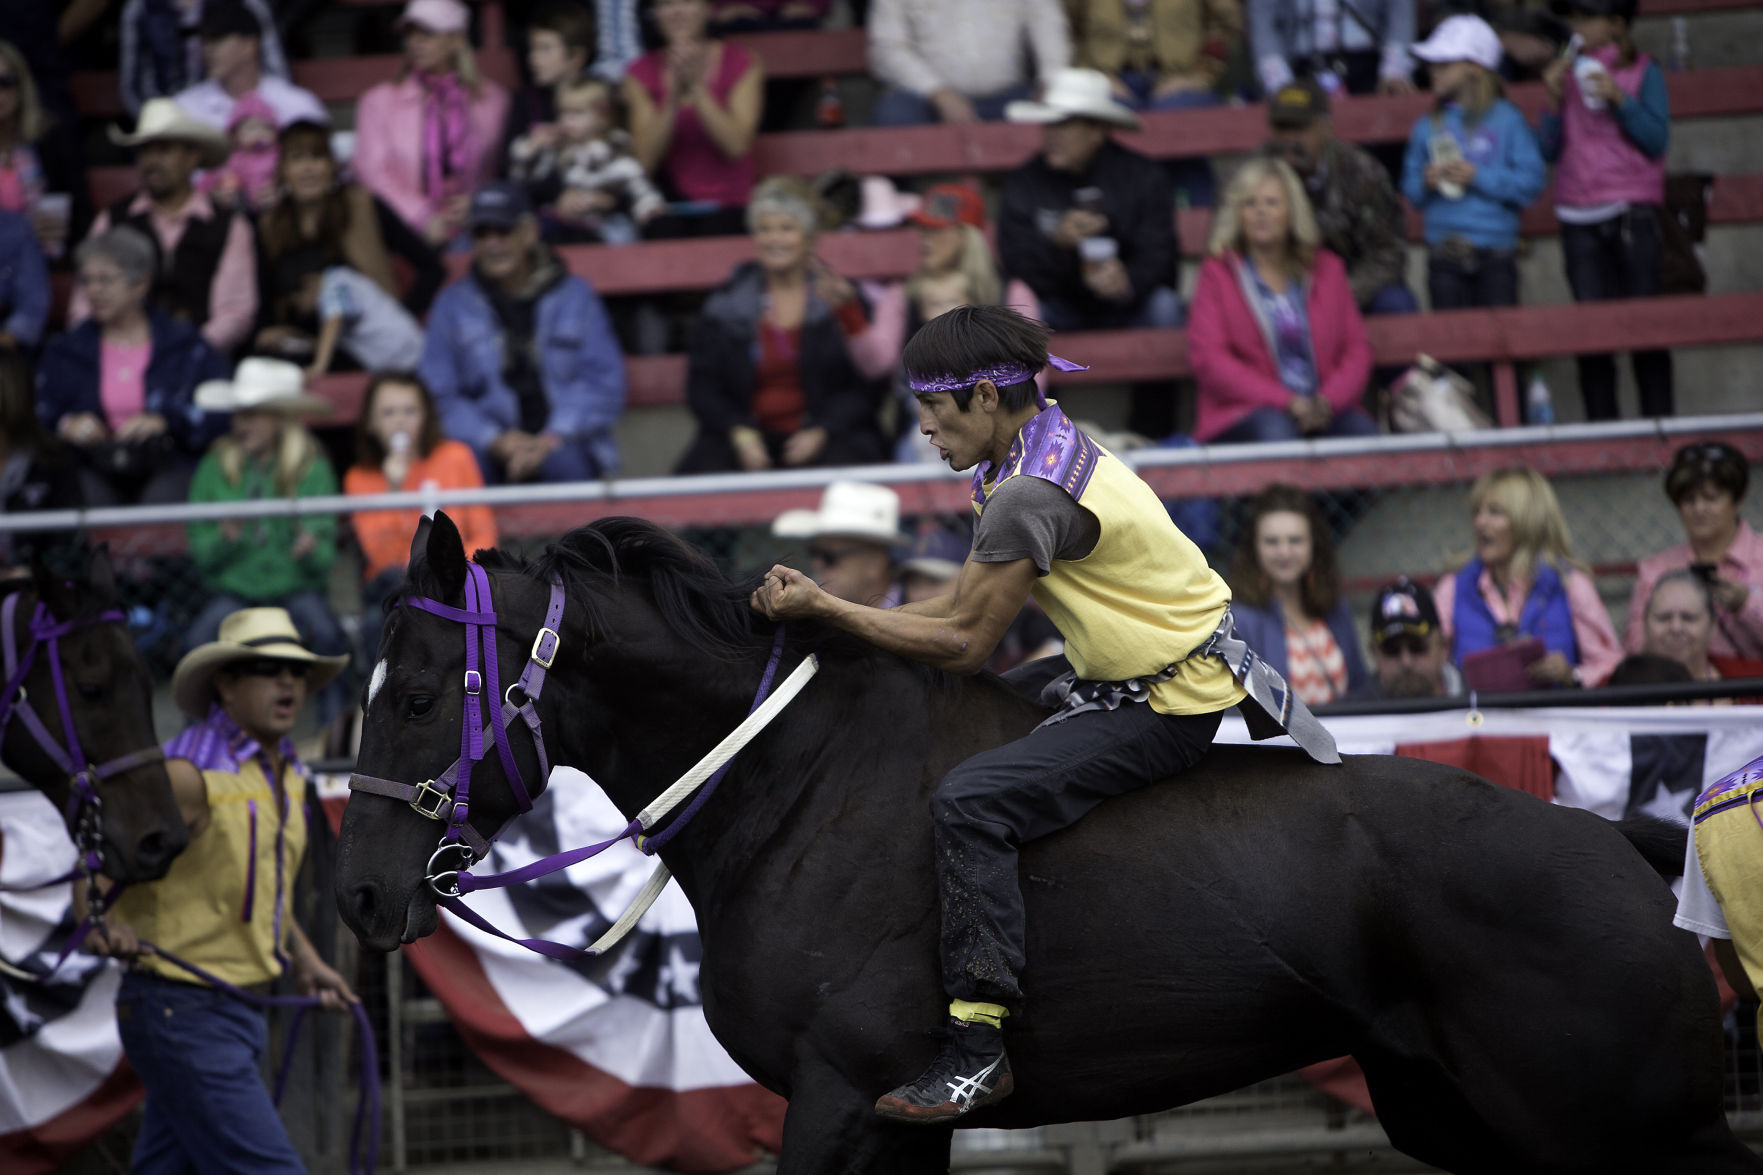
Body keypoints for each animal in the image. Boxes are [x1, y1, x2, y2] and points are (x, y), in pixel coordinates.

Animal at [336, 518, 1755, 1164]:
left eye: (416, 695)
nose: (356, 893)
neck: (794, 789)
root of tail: (1618, 846)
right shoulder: (888, 1120)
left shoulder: (840, 1095)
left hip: (1614, 1122)